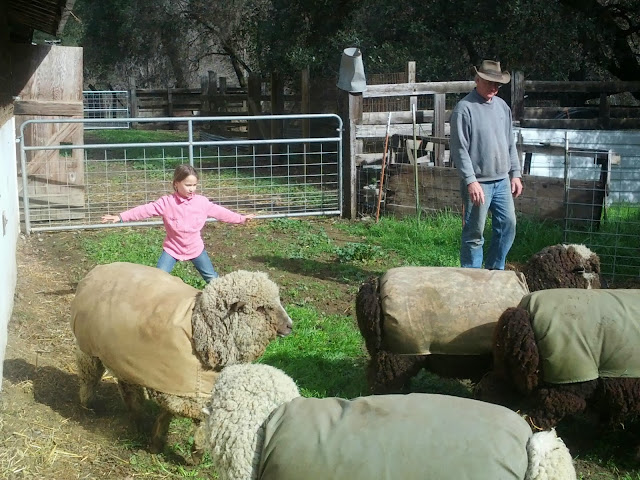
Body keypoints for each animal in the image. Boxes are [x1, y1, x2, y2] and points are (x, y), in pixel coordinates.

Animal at [70, 262, 292, 458]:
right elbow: (199, 418)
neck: (201, 328)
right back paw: (89, 405)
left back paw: (137, 418)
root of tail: (98, 269)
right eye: (261, 308)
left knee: (128, 388)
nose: (290, 326)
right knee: (89, 377)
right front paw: (196, 452)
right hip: (88, 349)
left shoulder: (180, 387)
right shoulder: (176, 389)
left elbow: (167, 415)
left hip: (122, 357)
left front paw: (156, 443)